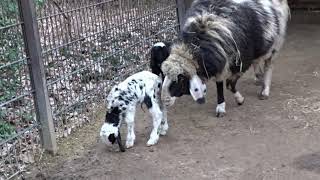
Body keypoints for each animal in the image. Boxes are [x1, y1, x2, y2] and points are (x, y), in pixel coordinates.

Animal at [160, 0, 290, 116]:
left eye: (181, 79)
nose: (164, 101)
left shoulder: (240, 63)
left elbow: (229, 84)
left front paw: (239, 100)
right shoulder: (219, 61)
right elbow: (219, 85)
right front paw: (221, 106)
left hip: (275, 44)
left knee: (269, 65)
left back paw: (265, 90)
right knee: (257, 61)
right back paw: (258, 78)